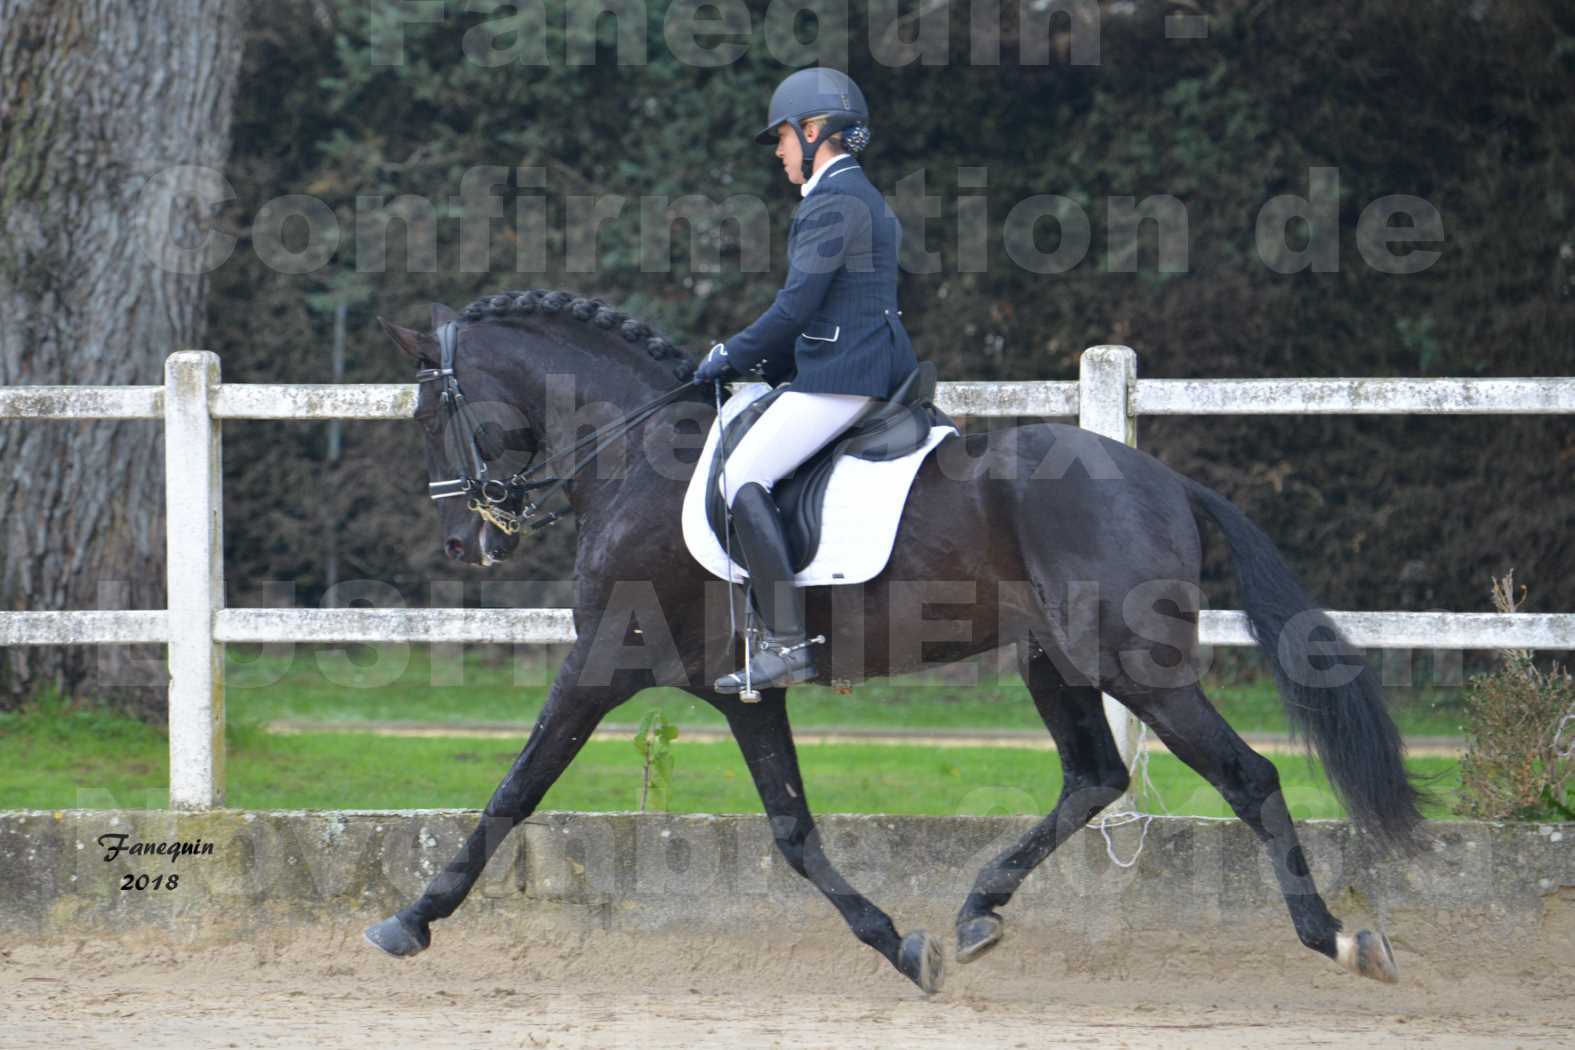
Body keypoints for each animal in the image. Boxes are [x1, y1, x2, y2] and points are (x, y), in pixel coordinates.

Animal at [368, 289, 1430, 994]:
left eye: (426, 413)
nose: (464, 541)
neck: (636, 460)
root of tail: (1165, 480)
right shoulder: (738, 689)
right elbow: (792, 829)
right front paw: (899, 943)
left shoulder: (601, 663)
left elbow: (512, 792)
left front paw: (409, 920)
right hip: (1056, 662)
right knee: (1093, 775)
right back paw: (976, 912)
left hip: (1136, 664)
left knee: (1244, 776)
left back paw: (1337, 938)